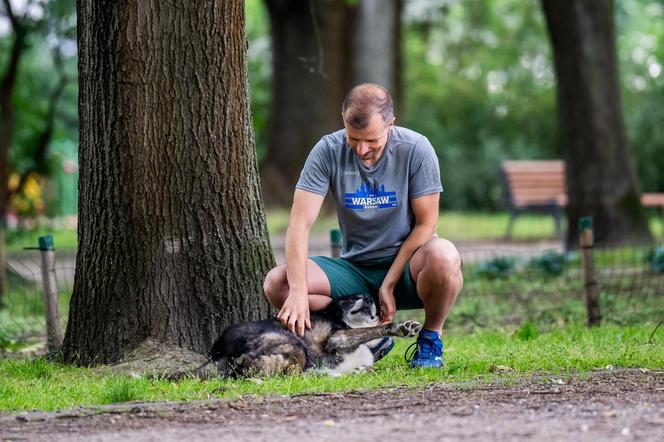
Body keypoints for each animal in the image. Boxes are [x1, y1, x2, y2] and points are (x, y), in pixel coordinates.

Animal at [205, 294, 420, 376]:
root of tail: (219, 349)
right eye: (351, 298)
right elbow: (369, 330)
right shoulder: (338, 337)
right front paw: (399, 328)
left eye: (373, 301)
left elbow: (368, 368)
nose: (368, 299)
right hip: (296, 347)